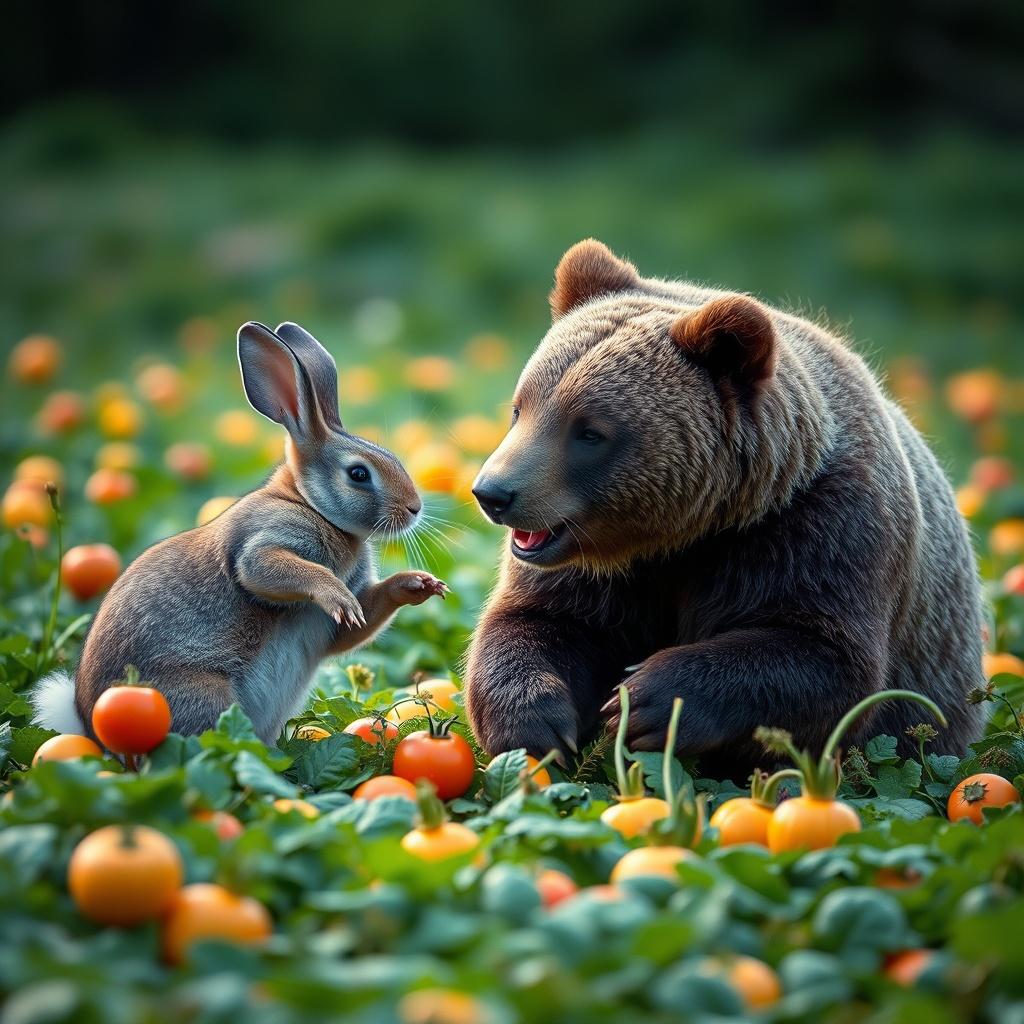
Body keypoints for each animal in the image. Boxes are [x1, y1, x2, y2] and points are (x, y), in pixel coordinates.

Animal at [33, 320, 447, 744]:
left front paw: (419, 585)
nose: (415, 507)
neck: (308, 503)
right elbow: (267, 570)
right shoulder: (265, 543)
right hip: (205, 695)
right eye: (359, 474)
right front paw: (338, 597)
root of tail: (90, 729)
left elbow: (359, 622)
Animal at [464, 239, 985, 781]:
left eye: (589, 431)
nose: (494, 492)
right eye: (521, 407)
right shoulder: (605, 571)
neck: (688, 532)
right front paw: (535, 725)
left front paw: (645, 700)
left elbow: (825, 658)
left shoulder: (823, 529)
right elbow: (538, 621)